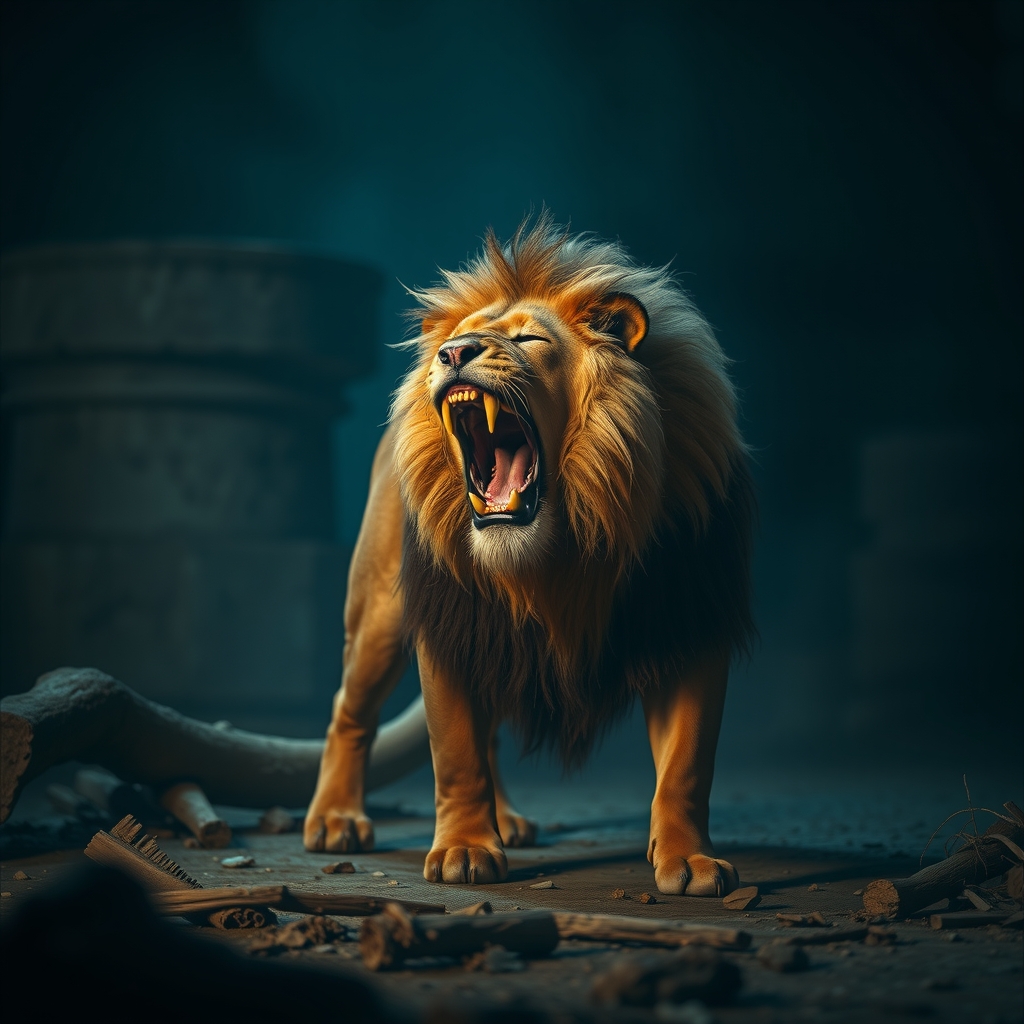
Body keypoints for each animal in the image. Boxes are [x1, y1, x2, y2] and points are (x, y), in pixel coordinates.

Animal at [304, 215, 754, 896]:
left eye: (531, 339)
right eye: (457, 342)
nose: (453, 354)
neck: (560, 543)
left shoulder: (691, 616)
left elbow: (686, 765)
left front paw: (690, 861)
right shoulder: (448, 619)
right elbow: (455, 755)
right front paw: (464, 849)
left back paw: (507, 820)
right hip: (380, 616)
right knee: (347, 714)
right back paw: (334, 819)